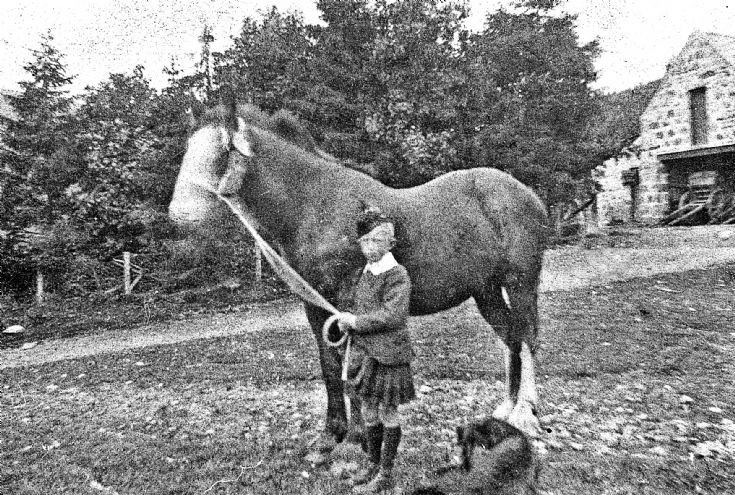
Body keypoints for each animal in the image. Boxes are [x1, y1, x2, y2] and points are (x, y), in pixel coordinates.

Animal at [168, 103, 548, 445]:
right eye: (188, 148)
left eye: (222, 149)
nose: (178, 216)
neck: (313, 205)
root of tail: (527, 194)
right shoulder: (315, 306)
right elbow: (329, 364)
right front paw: (332, 433)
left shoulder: (349, 301)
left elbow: (350, 362)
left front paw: (357, 436)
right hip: (486, 290)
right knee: (510, 339)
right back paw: (505, 410)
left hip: (521, 283)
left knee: (527, 337)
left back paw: (525, 413)